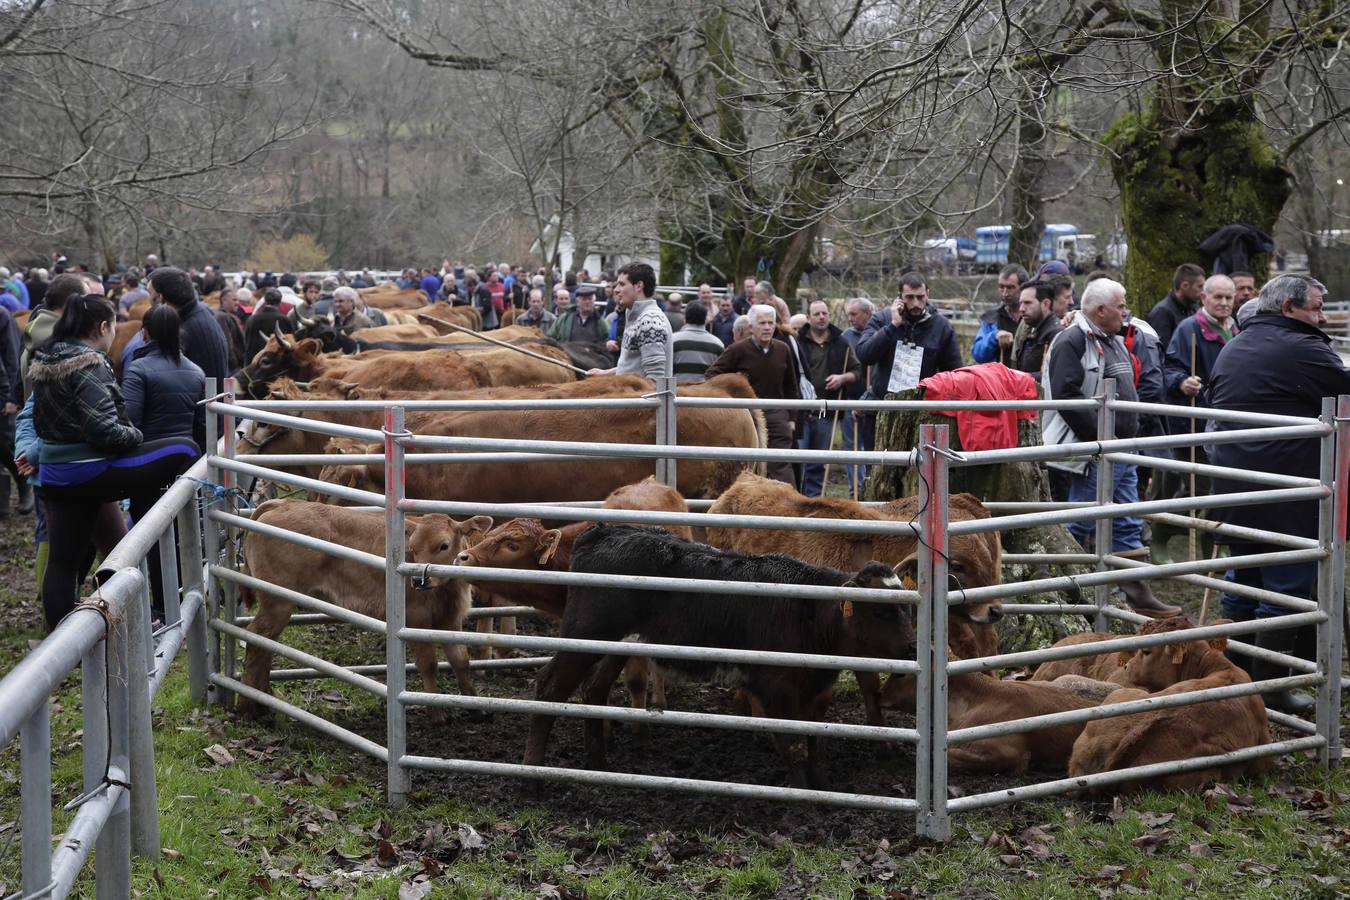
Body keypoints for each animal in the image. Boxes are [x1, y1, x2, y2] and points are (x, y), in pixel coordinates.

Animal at [234, 499, 494, 723]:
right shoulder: (415, 619)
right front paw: (437, 713)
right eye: (413, 548)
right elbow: (429, 663)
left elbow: (461, 661)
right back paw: (246, 708)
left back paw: (263, 702)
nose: (418, 581)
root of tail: (283, 503)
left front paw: (476, 707)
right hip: (276, 601)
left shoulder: (450, 620)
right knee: (257, 638)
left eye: (444, 545)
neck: (445, 590)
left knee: (267, 643)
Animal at [521, 523, 912, 793]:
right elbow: (793, 742)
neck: (809, 612)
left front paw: (822, 787)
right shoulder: (776, 686)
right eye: (881, 612)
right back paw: (532, 781)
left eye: (907, 608)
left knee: (595, 691)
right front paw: (802, 794)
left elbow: (815, 740)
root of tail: (602, 531)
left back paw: (598, 763)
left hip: (620, 642)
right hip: (585, 634)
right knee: (549, 688)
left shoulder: (813, 690)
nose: (911, 648)